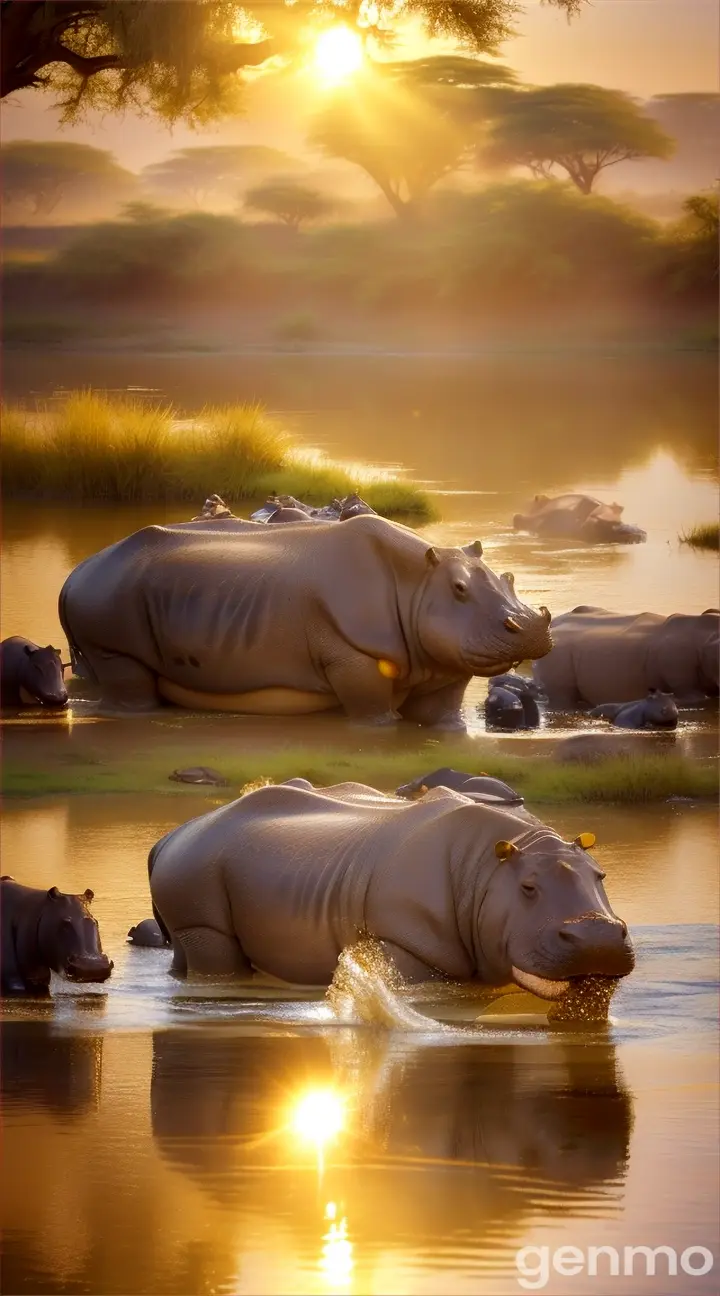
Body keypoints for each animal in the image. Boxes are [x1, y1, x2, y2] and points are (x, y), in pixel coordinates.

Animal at [58, 513, 554, 730]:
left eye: (509, 579)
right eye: (459, 591)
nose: (530, 630)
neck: (418, 581)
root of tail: (73, 574)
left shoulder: (443, 659)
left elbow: (443, 712)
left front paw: (447, 731)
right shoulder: (353, 654)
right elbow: (374, 711)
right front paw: (381, 731)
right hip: (104, 598)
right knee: (123, 666)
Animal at [148, 777, 631, 990]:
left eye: (602, 877)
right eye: (527, 889)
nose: (599, 939)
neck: (490, 867)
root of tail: (174, 833)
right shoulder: (406, 941)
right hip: (196, 866)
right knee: (211, 943)